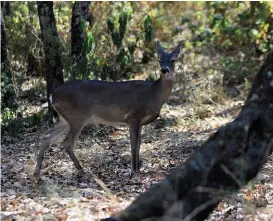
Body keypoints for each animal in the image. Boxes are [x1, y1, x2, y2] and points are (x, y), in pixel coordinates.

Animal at [34, 40, 183, 180]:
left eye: (173, 60)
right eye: (159, 59)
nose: (164, 70)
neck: (153, 94)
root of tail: (52, 95)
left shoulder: (139, 121)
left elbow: (139, 144)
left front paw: (137, 171)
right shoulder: (134, 116)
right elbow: (134, 145)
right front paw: (134, 173)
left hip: (64, 119)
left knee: (46, 136)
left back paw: (37, 172)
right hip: (77, 117)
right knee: (67, 143)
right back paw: (82, 172)